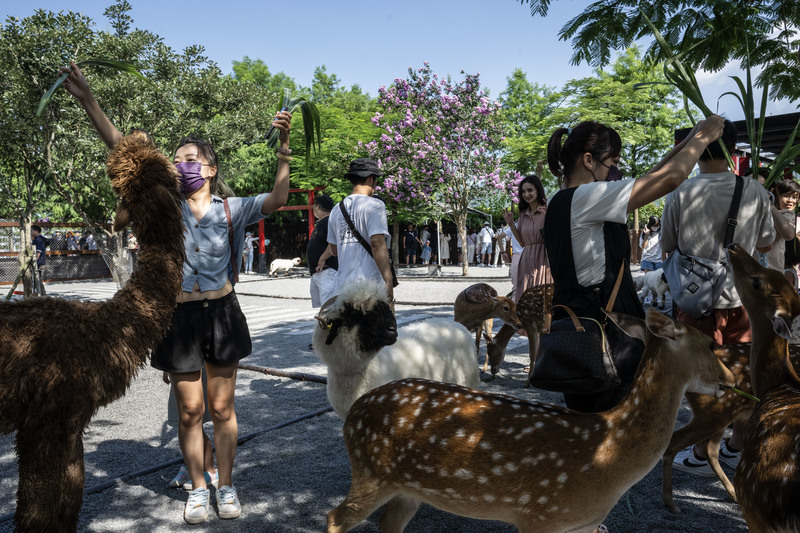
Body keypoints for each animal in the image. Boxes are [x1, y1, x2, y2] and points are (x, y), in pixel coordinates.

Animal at [328, 308, 736, 532]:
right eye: (710, 345)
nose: (731, 379)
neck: (609, 454)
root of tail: (353, 413)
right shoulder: (540, 514)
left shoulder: (580, 526)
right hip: (371, 473)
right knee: (334, 516)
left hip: (407, 489)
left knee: (386, 524)